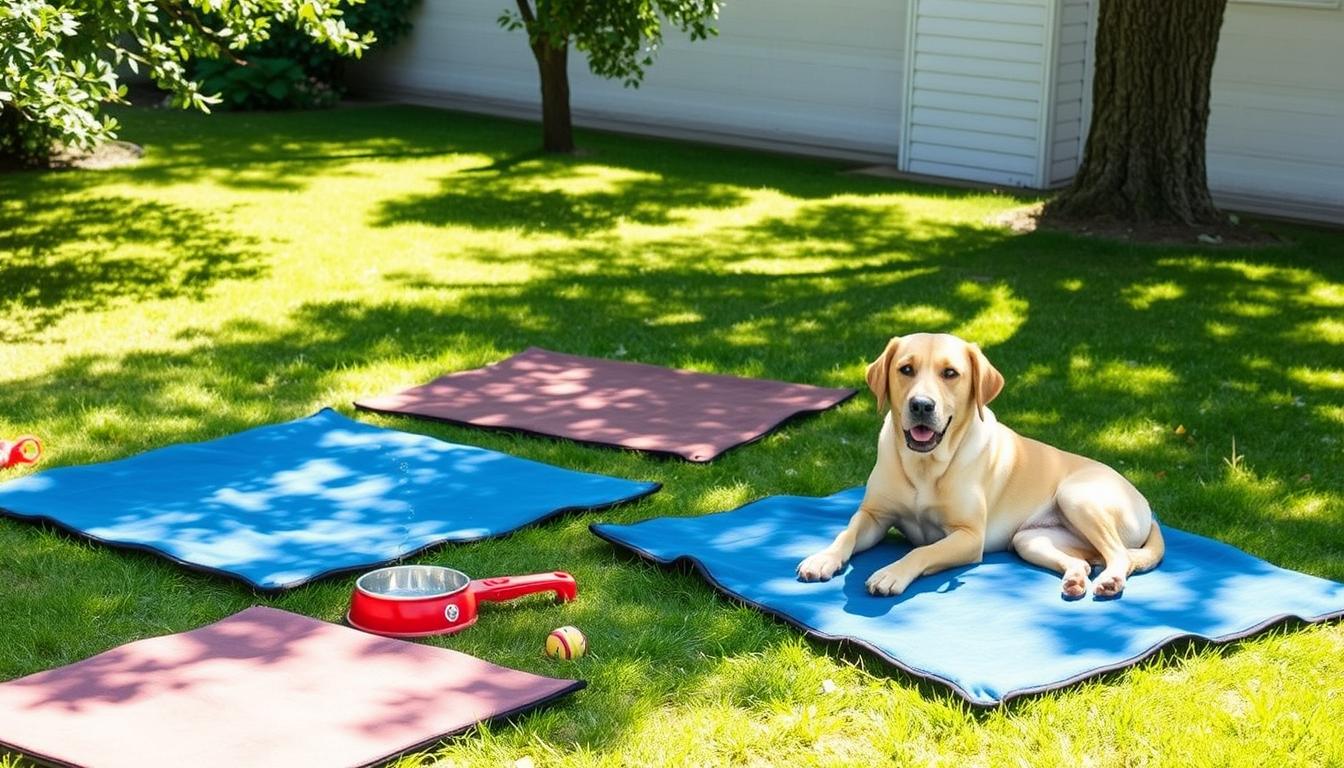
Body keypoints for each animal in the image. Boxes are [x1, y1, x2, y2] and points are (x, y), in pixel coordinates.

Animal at [795, 333, 1166, 597]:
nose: (921, 405)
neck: (926, 465)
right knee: (1085, 561)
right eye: (906, 369)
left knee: (1119, 555)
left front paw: (892, 572)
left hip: (1077, 496)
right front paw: (824, 557)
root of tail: (1147, 506)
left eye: (950, 373)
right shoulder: (873, 516)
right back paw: (1076, 578)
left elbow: (922, 552)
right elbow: (846, 533)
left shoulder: (969, 537)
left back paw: (1111, 580)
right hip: (1031, 540)